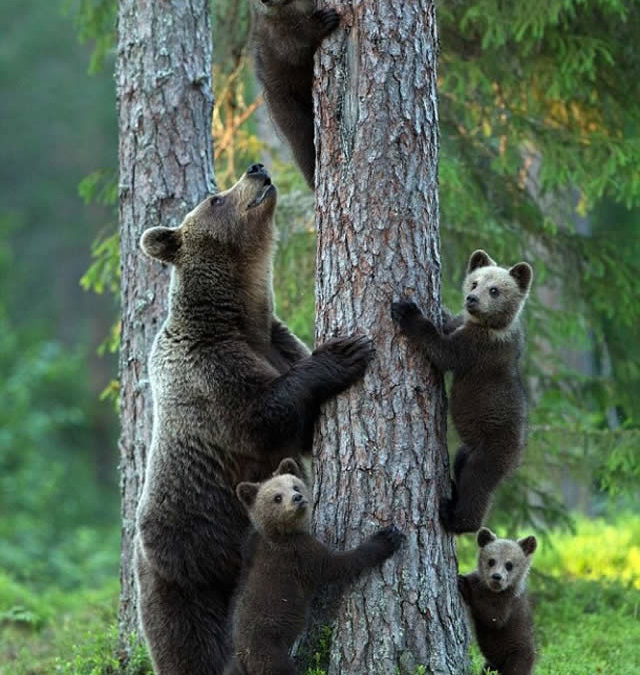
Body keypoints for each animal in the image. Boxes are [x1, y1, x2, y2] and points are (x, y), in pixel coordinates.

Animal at [136, 165, 376, 675]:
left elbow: (302, 431)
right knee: (189, 644)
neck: (240, 318)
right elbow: (263, 414)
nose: (256, 168)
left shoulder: (276, 342)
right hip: (188, 567)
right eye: (214, 198)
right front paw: (344, 353)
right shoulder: (208, 370)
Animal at [222, 460, 398, 675]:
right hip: (268, 652)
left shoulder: (253, 545)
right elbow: (336, 565)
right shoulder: (300, 553)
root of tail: (243, 659)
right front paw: (386, 539)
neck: (281, 533)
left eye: (295, 486)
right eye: (277, 497)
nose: (297, 498)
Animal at [249, 0, 342, 187]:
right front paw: (323, 21)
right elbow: (291, 47)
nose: (264, 1)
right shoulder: (274, 28)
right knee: (303, 142)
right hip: (287, 105)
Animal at [390, 248, 536, 532]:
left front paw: (408, 312)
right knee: (461, 465)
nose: (471, 299)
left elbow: (443, 351)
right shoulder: (467, 328)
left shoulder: (477, 349)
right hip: (466, 449)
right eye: (475, 282)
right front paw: (441, 311)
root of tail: (517, 456)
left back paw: (455, 518)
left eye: (494, 290)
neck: (491, 326)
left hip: (492, 448)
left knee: (477, 484)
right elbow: (448, 325)